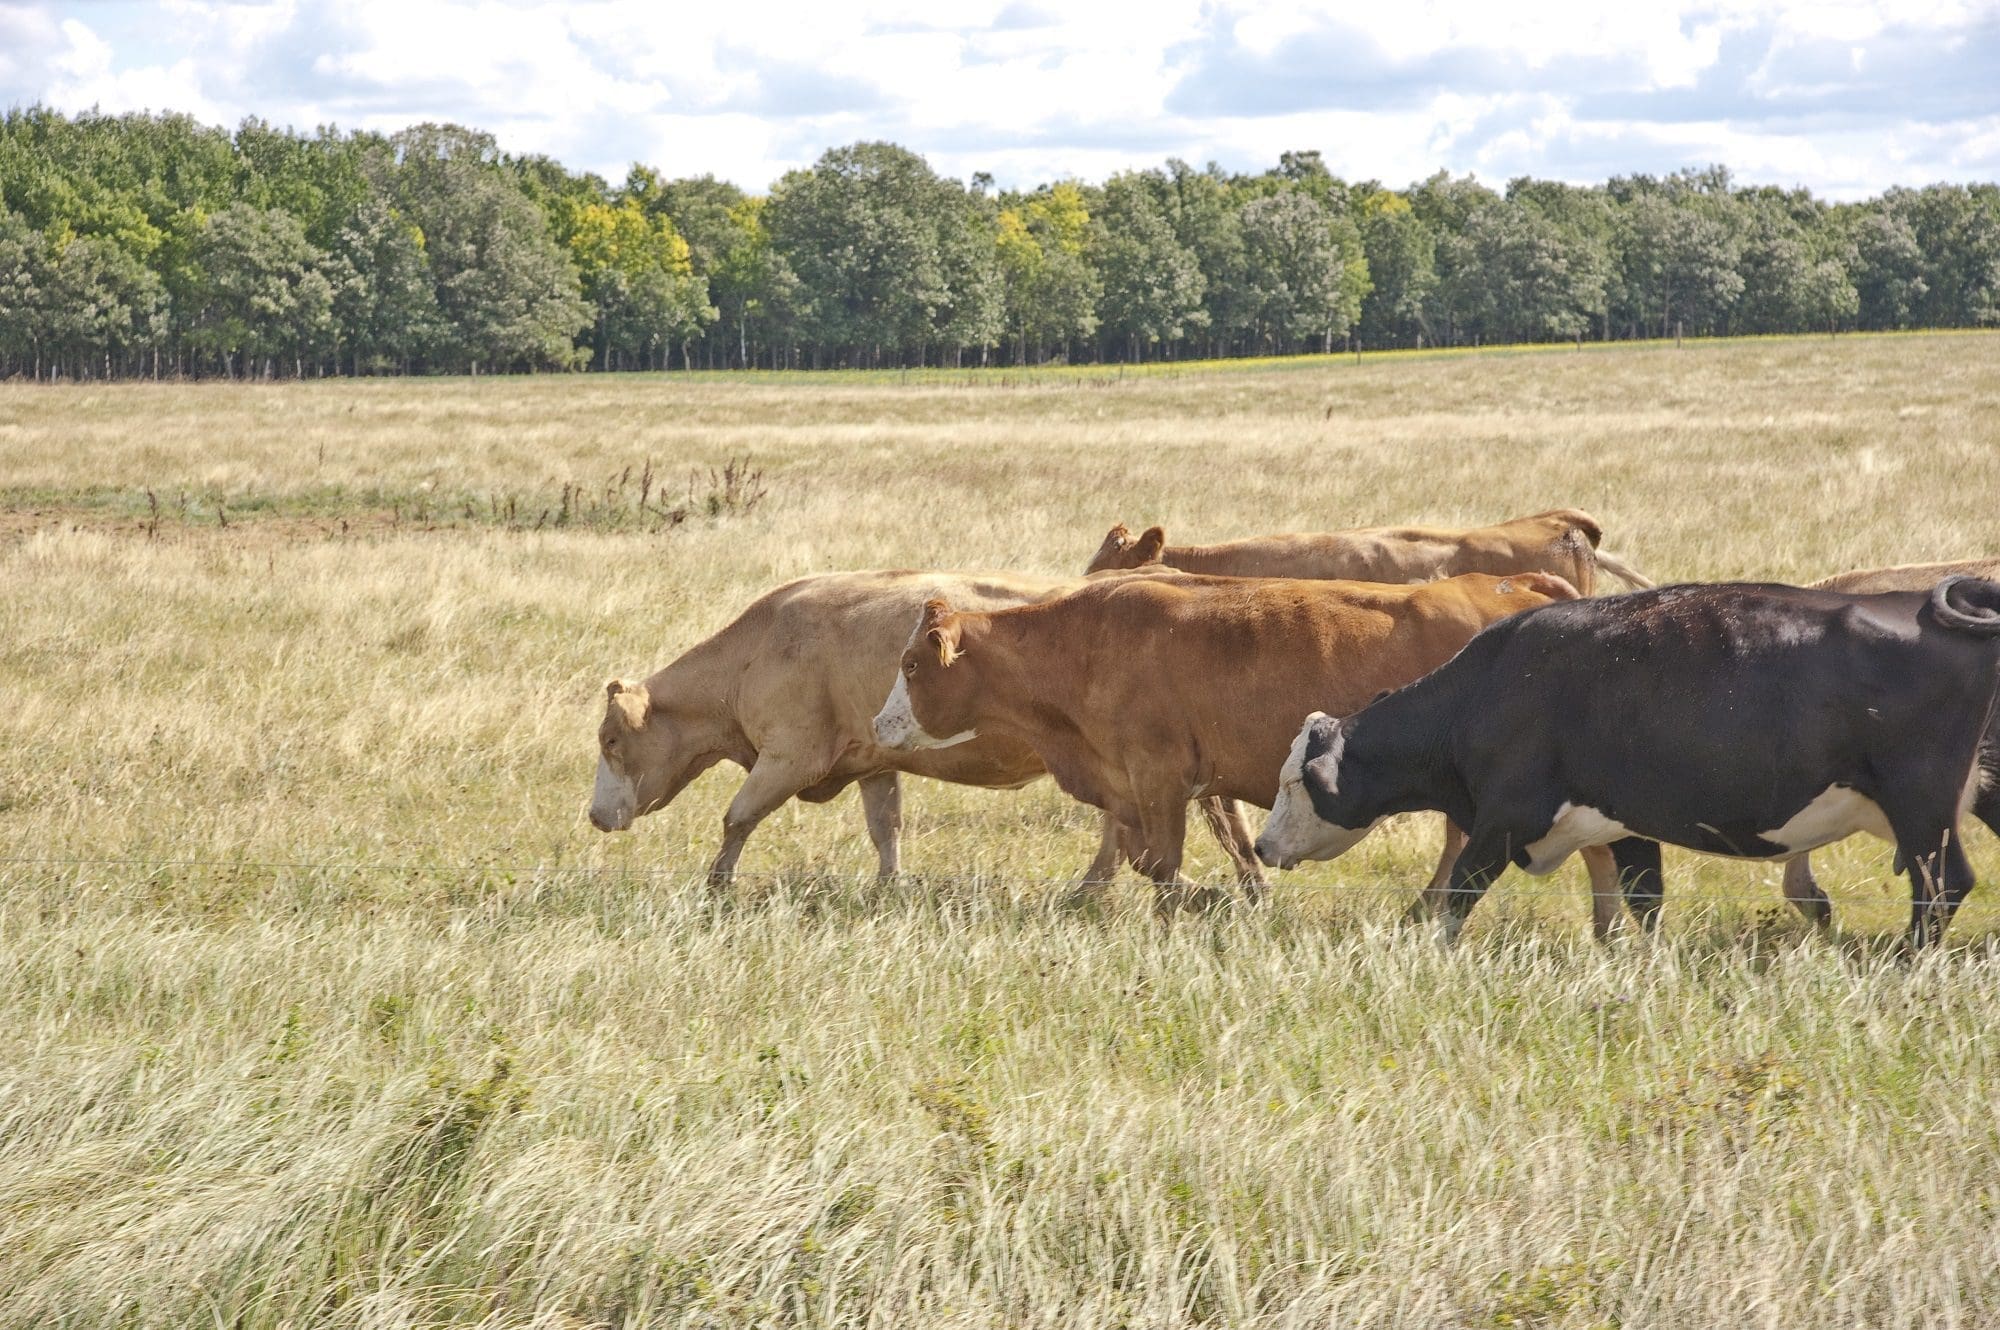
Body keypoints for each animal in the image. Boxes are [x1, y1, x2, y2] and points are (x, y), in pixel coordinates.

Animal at [584, 572, 1256, 892]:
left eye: (611, 741)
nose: (594, 816)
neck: (759, 647)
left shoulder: (789, 757)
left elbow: (737, 818)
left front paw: (717, 885)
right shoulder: (874, 763)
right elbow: (886, 829)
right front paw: (889, 885)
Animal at [876, 572, 1624, 924]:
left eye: (911, 664)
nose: (879, 727)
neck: (1086, 644)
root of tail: (1516, 584)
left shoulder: (1157, 775)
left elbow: (1161, 862)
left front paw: (1199, 901)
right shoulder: (1153, 783)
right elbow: (1158, 852)